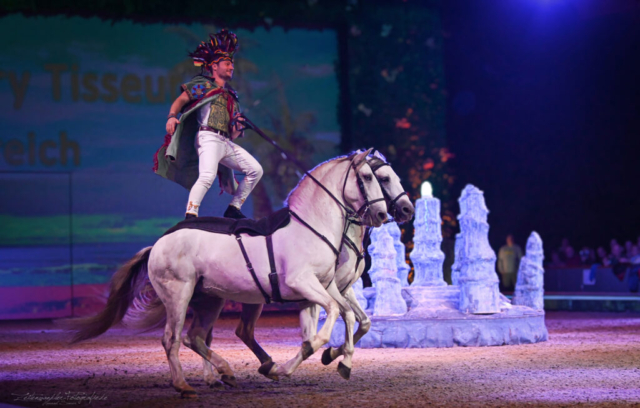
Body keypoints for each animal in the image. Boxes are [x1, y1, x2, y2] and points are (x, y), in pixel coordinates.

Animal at [65, 148, 388, 396]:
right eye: (368, 177)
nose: (383, 214)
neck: (311, 228)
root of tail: (158, 243)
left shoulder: (320, 289)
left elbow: (337, 320)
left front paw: (332, 360)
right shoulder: (303, 284)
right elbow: (330, 318)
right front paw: (299, 363)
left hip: (210, 300)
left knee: (195, 337)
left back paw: (226, 373)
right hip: (178, 295)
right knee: (172, 338)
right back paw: (184, 385)